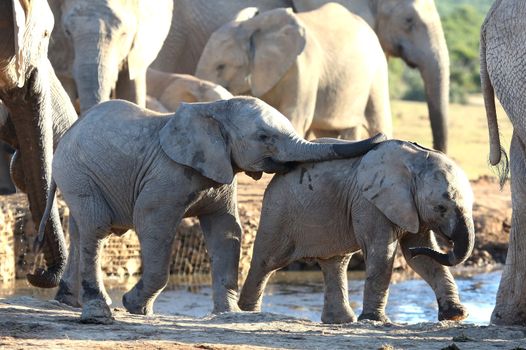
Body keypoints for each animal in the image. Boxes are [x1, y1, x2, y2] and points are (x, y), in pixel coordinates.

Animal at [241, 139, 476, 322]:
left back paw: (341, 321)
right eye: (441, 208)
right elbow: (382, 253)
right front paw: (375, 320)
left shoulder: (409, 208)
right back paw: (248, 312)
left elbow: (423, 257)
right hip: (278, 210)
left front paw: (456, 315)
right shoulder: (369, 202)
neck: (415, 162)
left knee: (335, 263)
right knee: (266, 262)